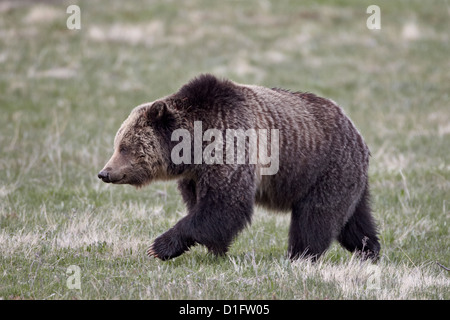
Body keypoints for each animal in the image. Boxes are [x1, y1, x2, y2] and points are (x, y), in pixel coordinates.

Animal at [97, 75, 380, 262]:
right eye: (117, 144)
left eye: (124, 146)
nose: (105, 173)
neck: (194, 147)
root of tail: (357, 133)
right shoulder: (195, 175)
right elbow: (203, 205)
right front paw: (216, 249)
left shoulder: (230, 143)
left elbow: (224, 203)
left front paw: (160, 246)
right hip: (347, 178)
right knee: (355, 220)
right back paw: (369, 250)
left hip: (324, 168)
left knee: (316, 217)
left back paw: (300, 255)